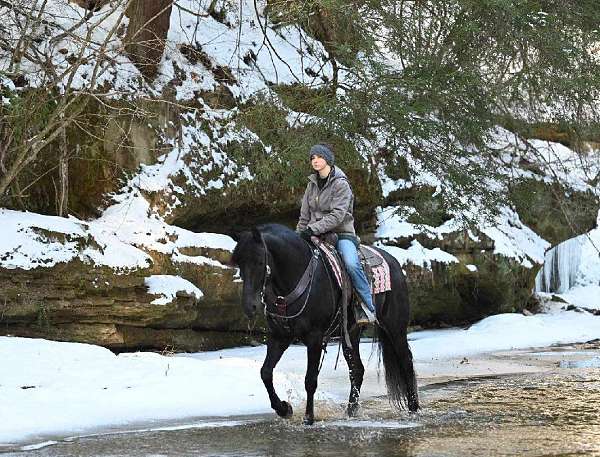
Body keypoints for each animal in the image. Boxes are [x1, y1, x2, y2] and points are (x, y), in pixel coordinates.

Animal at [232, 224, 420, 424]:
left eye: (260, 262)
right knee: (357, 370)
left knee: (406, 362)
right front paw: (284, 409)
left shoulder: (314, 337)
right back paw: (350, 412)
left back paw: (414, 408)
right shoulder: (280, 336)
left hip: (395, 327)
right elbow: (265, 372)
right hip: (351, 333)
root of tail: (395, 263)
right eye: (239, 263)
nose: (250, 306)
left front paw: (308, 417)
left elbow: (310, 379)